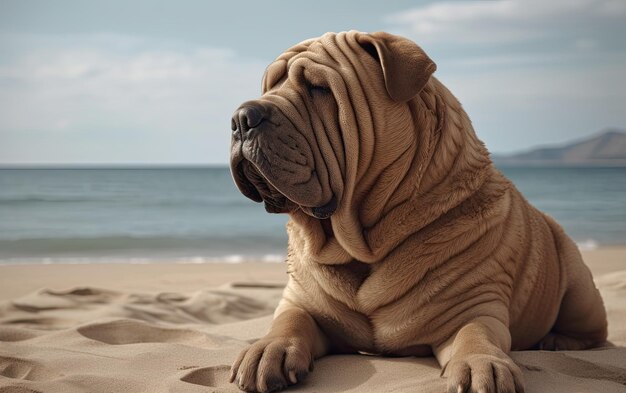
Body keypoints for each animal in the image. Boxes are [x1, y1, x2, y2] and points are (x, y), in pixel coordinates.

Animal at [227, 31, 608, 392]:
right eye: (269, 86)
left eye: (318, 88)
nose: (241, 118)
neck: (360, 244)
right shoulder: (301, 302)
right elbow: (288, 321)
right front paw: (267, 350)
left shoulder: (473, 306)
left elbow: (476, 334)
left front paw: (483, 366)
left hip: (579, 285)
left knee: (594, 330)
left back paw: (556, 341)